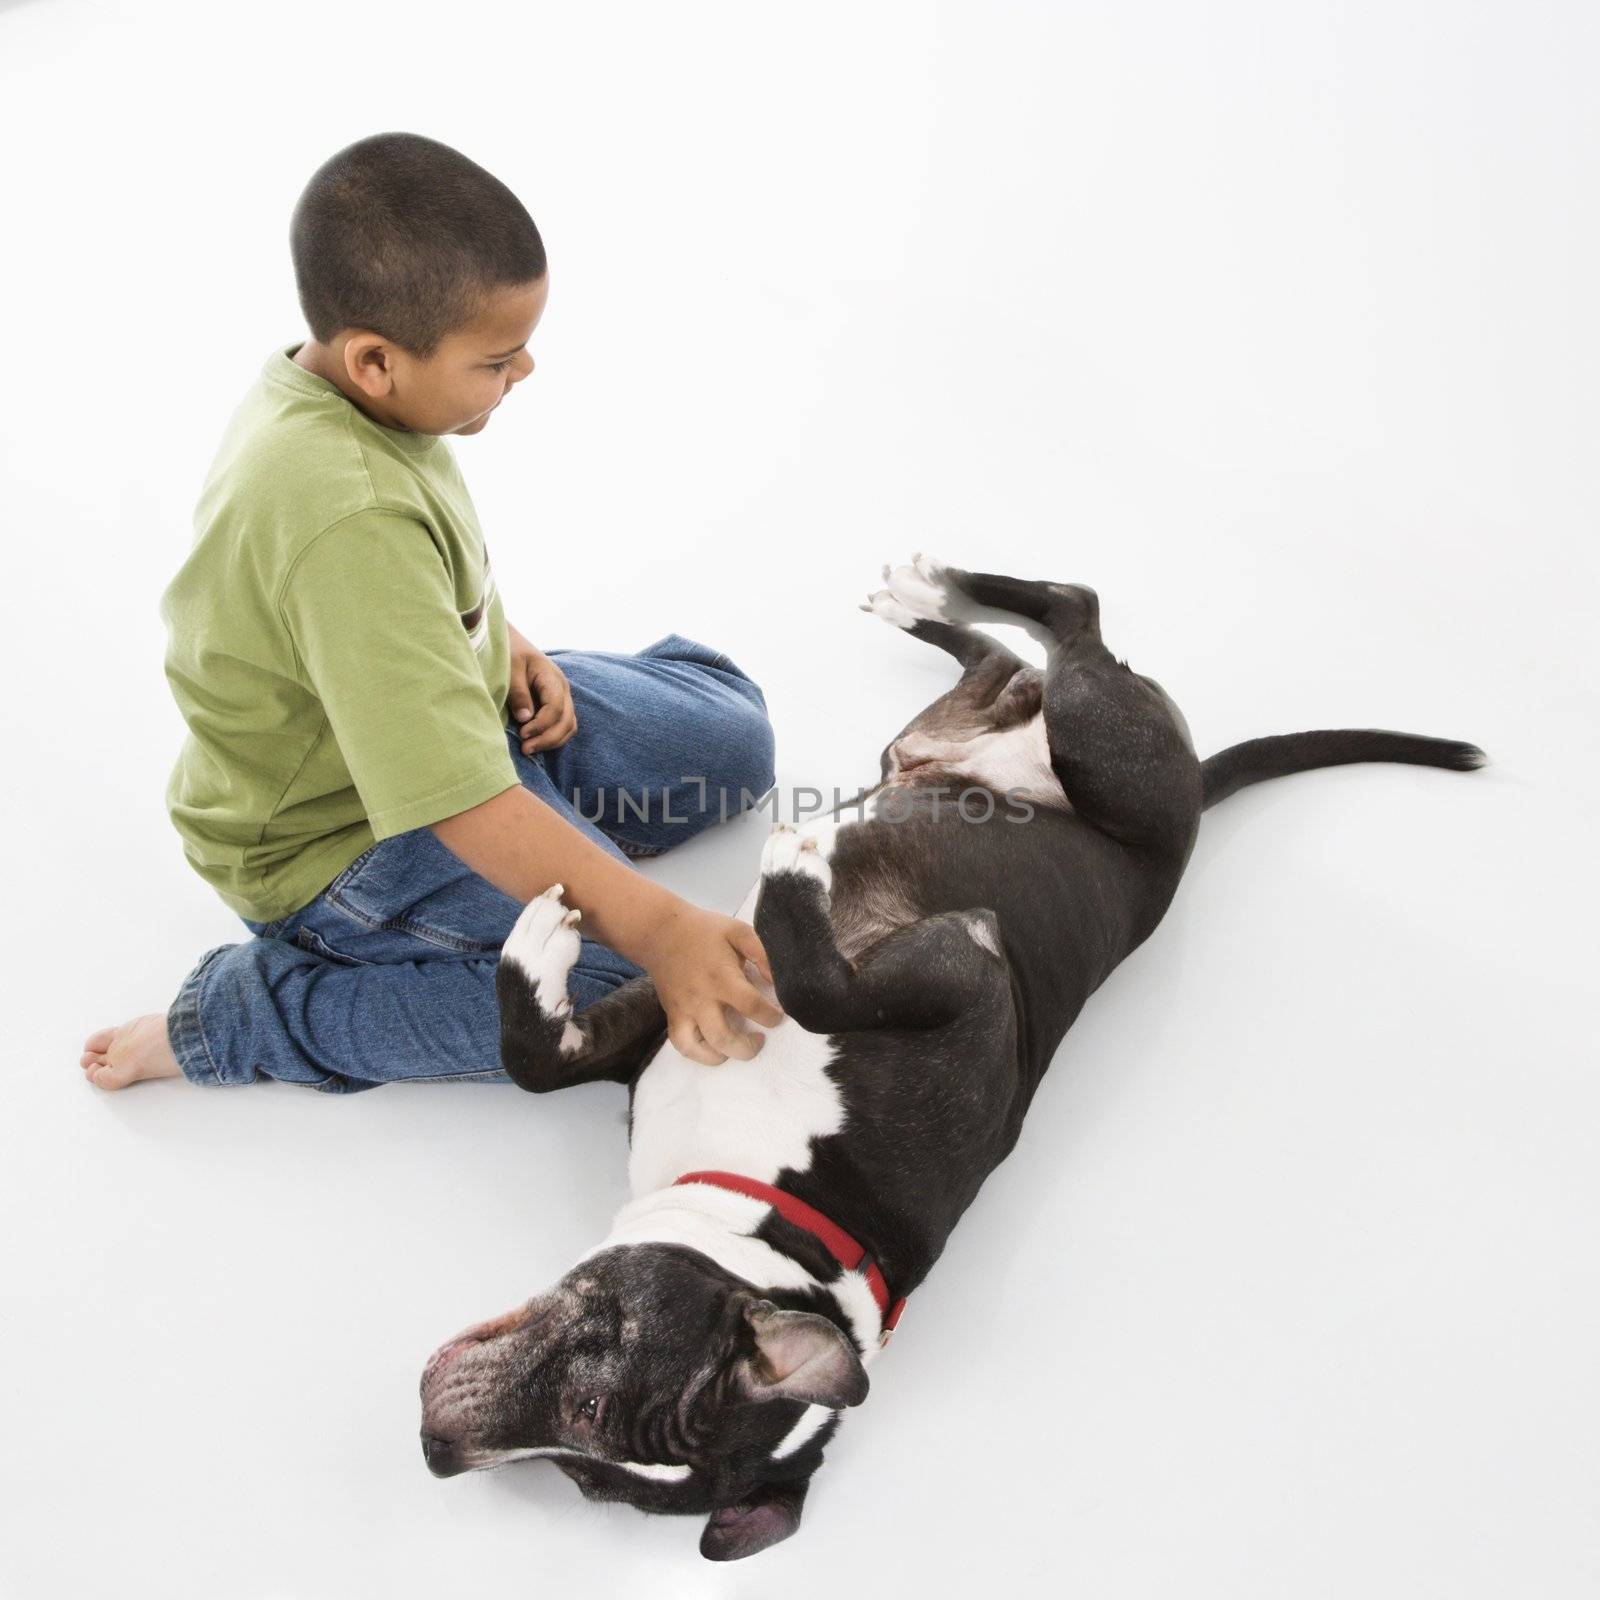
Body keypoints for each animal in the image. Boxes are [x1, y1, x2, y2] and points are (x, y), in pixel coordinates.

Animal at [416, 556, 1484, 1555]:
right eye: (580, 1474)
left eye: (589, 1433)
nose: (436, 1449)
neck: (798, 1214)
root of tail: (1185, 802)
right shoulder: (683, 1003)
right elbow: (537, 1061)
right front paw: (538, 946)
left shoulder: (966, 961)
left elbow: (819, 986)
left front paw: (793, 868)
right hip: (946, 741)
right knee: (1014, 658)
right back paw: (926, 600)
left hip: (1113, 758)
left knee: (1076, 619)